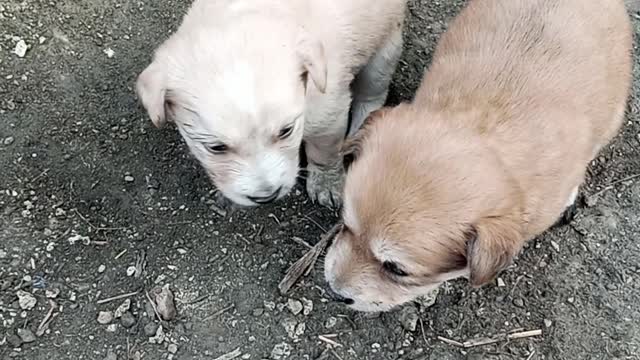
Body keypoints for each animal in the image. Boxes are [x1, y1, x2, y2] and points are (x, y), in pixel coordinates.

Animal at [136, 0, 404, 207]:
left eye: (286, 131)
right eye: (216, 148)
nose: (266, 197)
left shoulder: (329, 112)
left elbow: (324, 152)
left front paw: (326, 183)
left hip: (385, 46)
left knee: (373, 95)